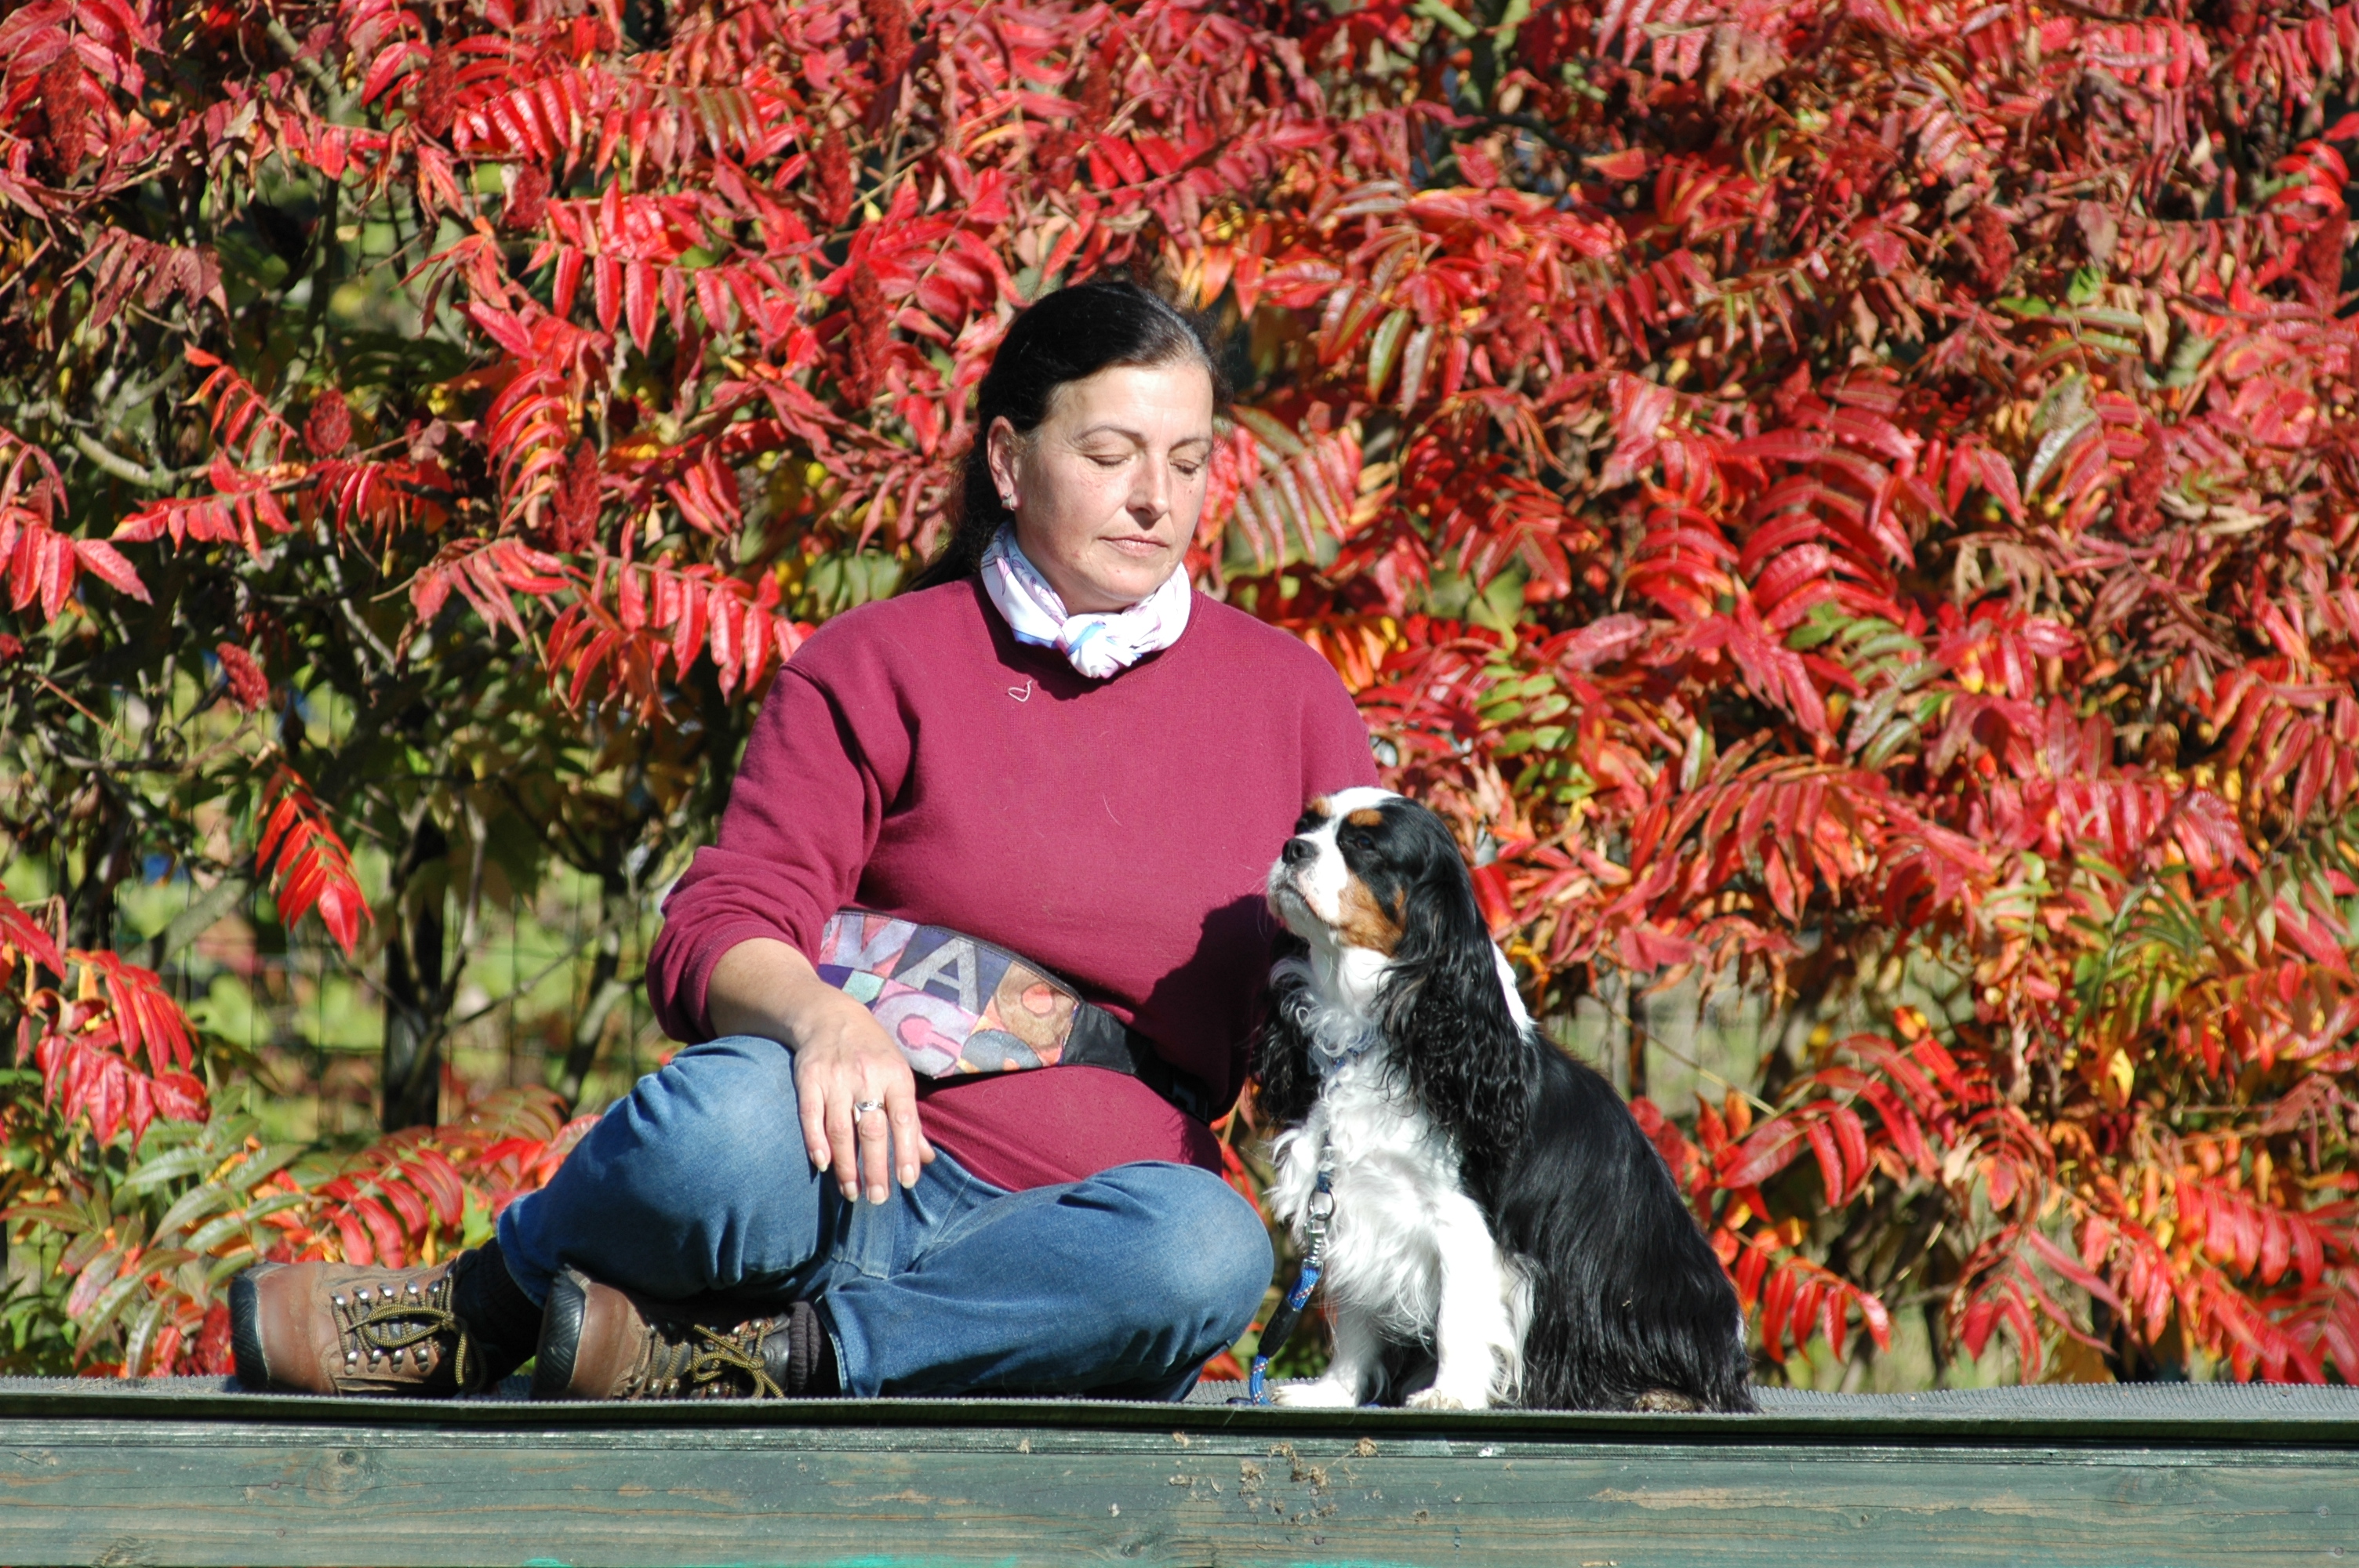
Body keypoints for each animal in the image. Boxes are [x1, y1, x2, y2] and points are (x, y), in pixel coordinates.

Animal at [1252, 787, 1754, 1412]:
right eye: (1306, 823)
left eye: (1364, 844)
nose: (1291, 848)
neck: (1374, 1026)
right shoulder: (1357, 1207)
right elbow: (1356, 1318)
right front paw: (1335, 1393)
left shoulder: (1460, 1219)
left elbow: (1457, 1316)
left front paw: (1448, 1394)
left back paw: (1662, 1394)